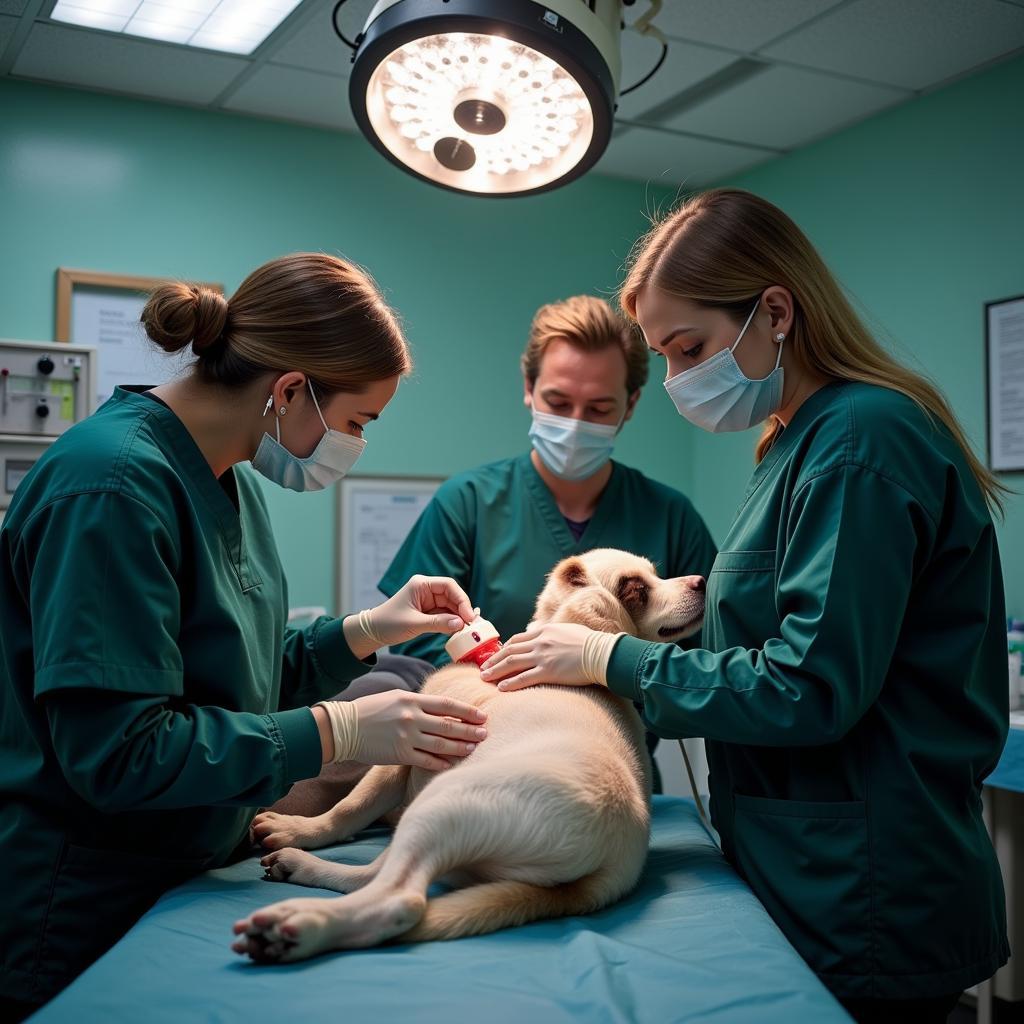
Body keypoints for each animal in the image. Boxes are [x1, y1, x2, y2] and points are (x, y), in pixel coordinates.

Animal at [231, 548, 704, 962]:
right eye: (638, 586)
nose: (701, 581)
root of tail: (615, 857)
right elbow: (351, 812)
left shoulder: (404, 754)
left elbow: (349, 808)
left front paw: (301, 829)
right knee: (376, 876)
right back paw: (298, 873)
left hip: (442, 803)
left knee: (396, 897)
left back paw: (300, 919)